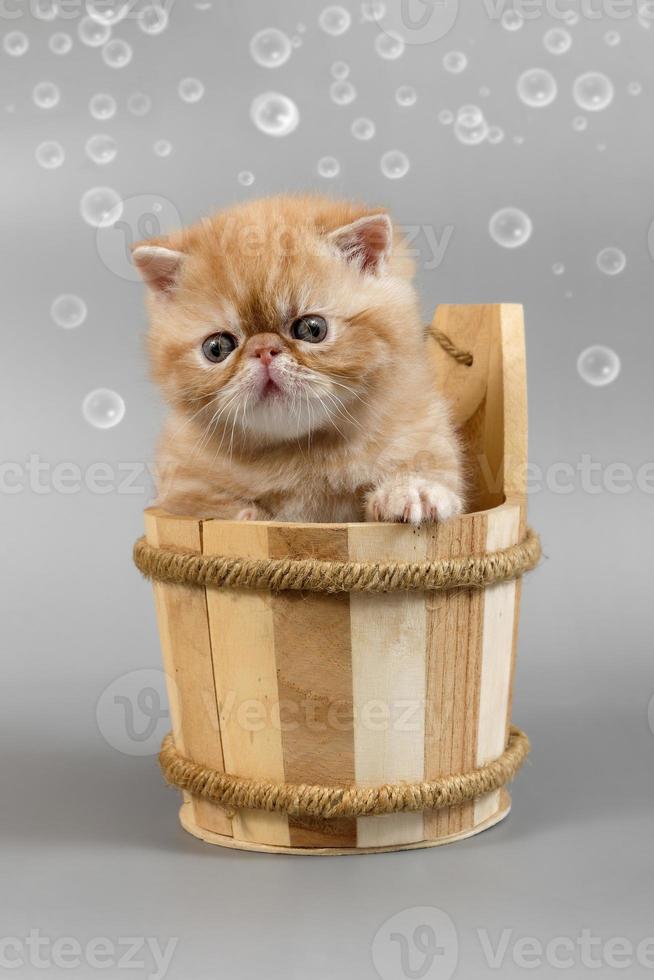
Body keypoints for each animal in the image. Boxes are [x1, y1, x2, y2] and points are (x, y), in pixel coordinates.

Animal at [133, 194, 466, 524]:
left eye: (311, 329)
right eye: (217, 348)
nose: (263, 349)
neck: (304, 453)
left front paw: (411, 491)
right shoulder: (178, 485)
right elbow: (206, 505)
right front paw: (250, 517)